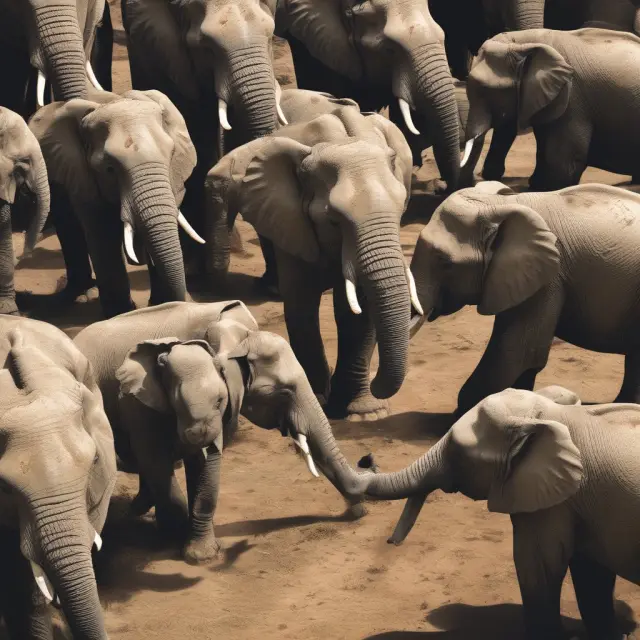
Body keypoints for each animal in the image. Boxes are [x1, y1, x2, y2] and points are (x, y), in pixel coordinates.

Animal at [29, 89, 203, 318]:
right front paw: (121, 314)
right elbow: (103, 232)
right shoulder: (84, 178)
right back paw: (78, 295)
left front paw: (158, 307)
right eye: (109, 169)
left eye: (172, 155)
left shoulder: (175, 178)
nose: (185, 302)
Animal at [74, 300, 368, 564]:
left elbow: (204, 463)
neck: (236, 337)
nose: (359, 511)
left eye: (219, 400)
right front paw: (179, 541)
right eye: (284, 392)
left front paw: (198, 550)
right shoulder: (138, 401)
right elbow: (156, 461)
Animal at [205, 109, 423, 420]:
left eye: (401, 209)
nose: (377, 384)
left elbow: (358, 312)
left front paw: (364, 413)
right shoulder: (291, 220)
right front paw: (321, 399)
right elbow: (301, 304)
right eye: (333, 221)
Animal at [350, 385, 640, 640]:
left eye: (457, 453)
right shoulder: (583, 503)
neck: (554, 414)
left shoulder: (554, 502)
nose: (365, 458)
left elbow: (538, 570)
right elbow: (591, 574)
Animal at [463, 28, 640, 191]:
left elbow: (564, 161)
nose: (481, 177)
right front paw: (536, 183)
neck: (522, 42)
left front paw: (545, 187)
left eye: (488, 91)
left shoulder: (571, 96)